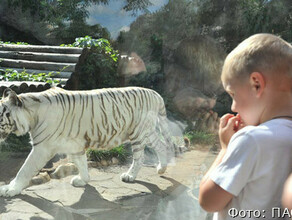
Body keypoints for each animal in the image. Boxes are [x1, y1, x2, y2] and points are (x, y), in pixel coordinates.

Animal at [0, 86, 177, 198]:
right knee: (161, 145)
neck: (31, 115)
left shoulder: (42, 148)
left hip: (138, 134)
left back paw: (130, 176)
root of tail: (155, 93)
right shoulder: (75, 145)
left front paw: (10, 189)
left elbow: (24, 170)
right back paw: (161, 168)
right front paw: (83, 180)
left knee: (140, 157)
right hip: (147, 132)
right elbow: (81, 162)